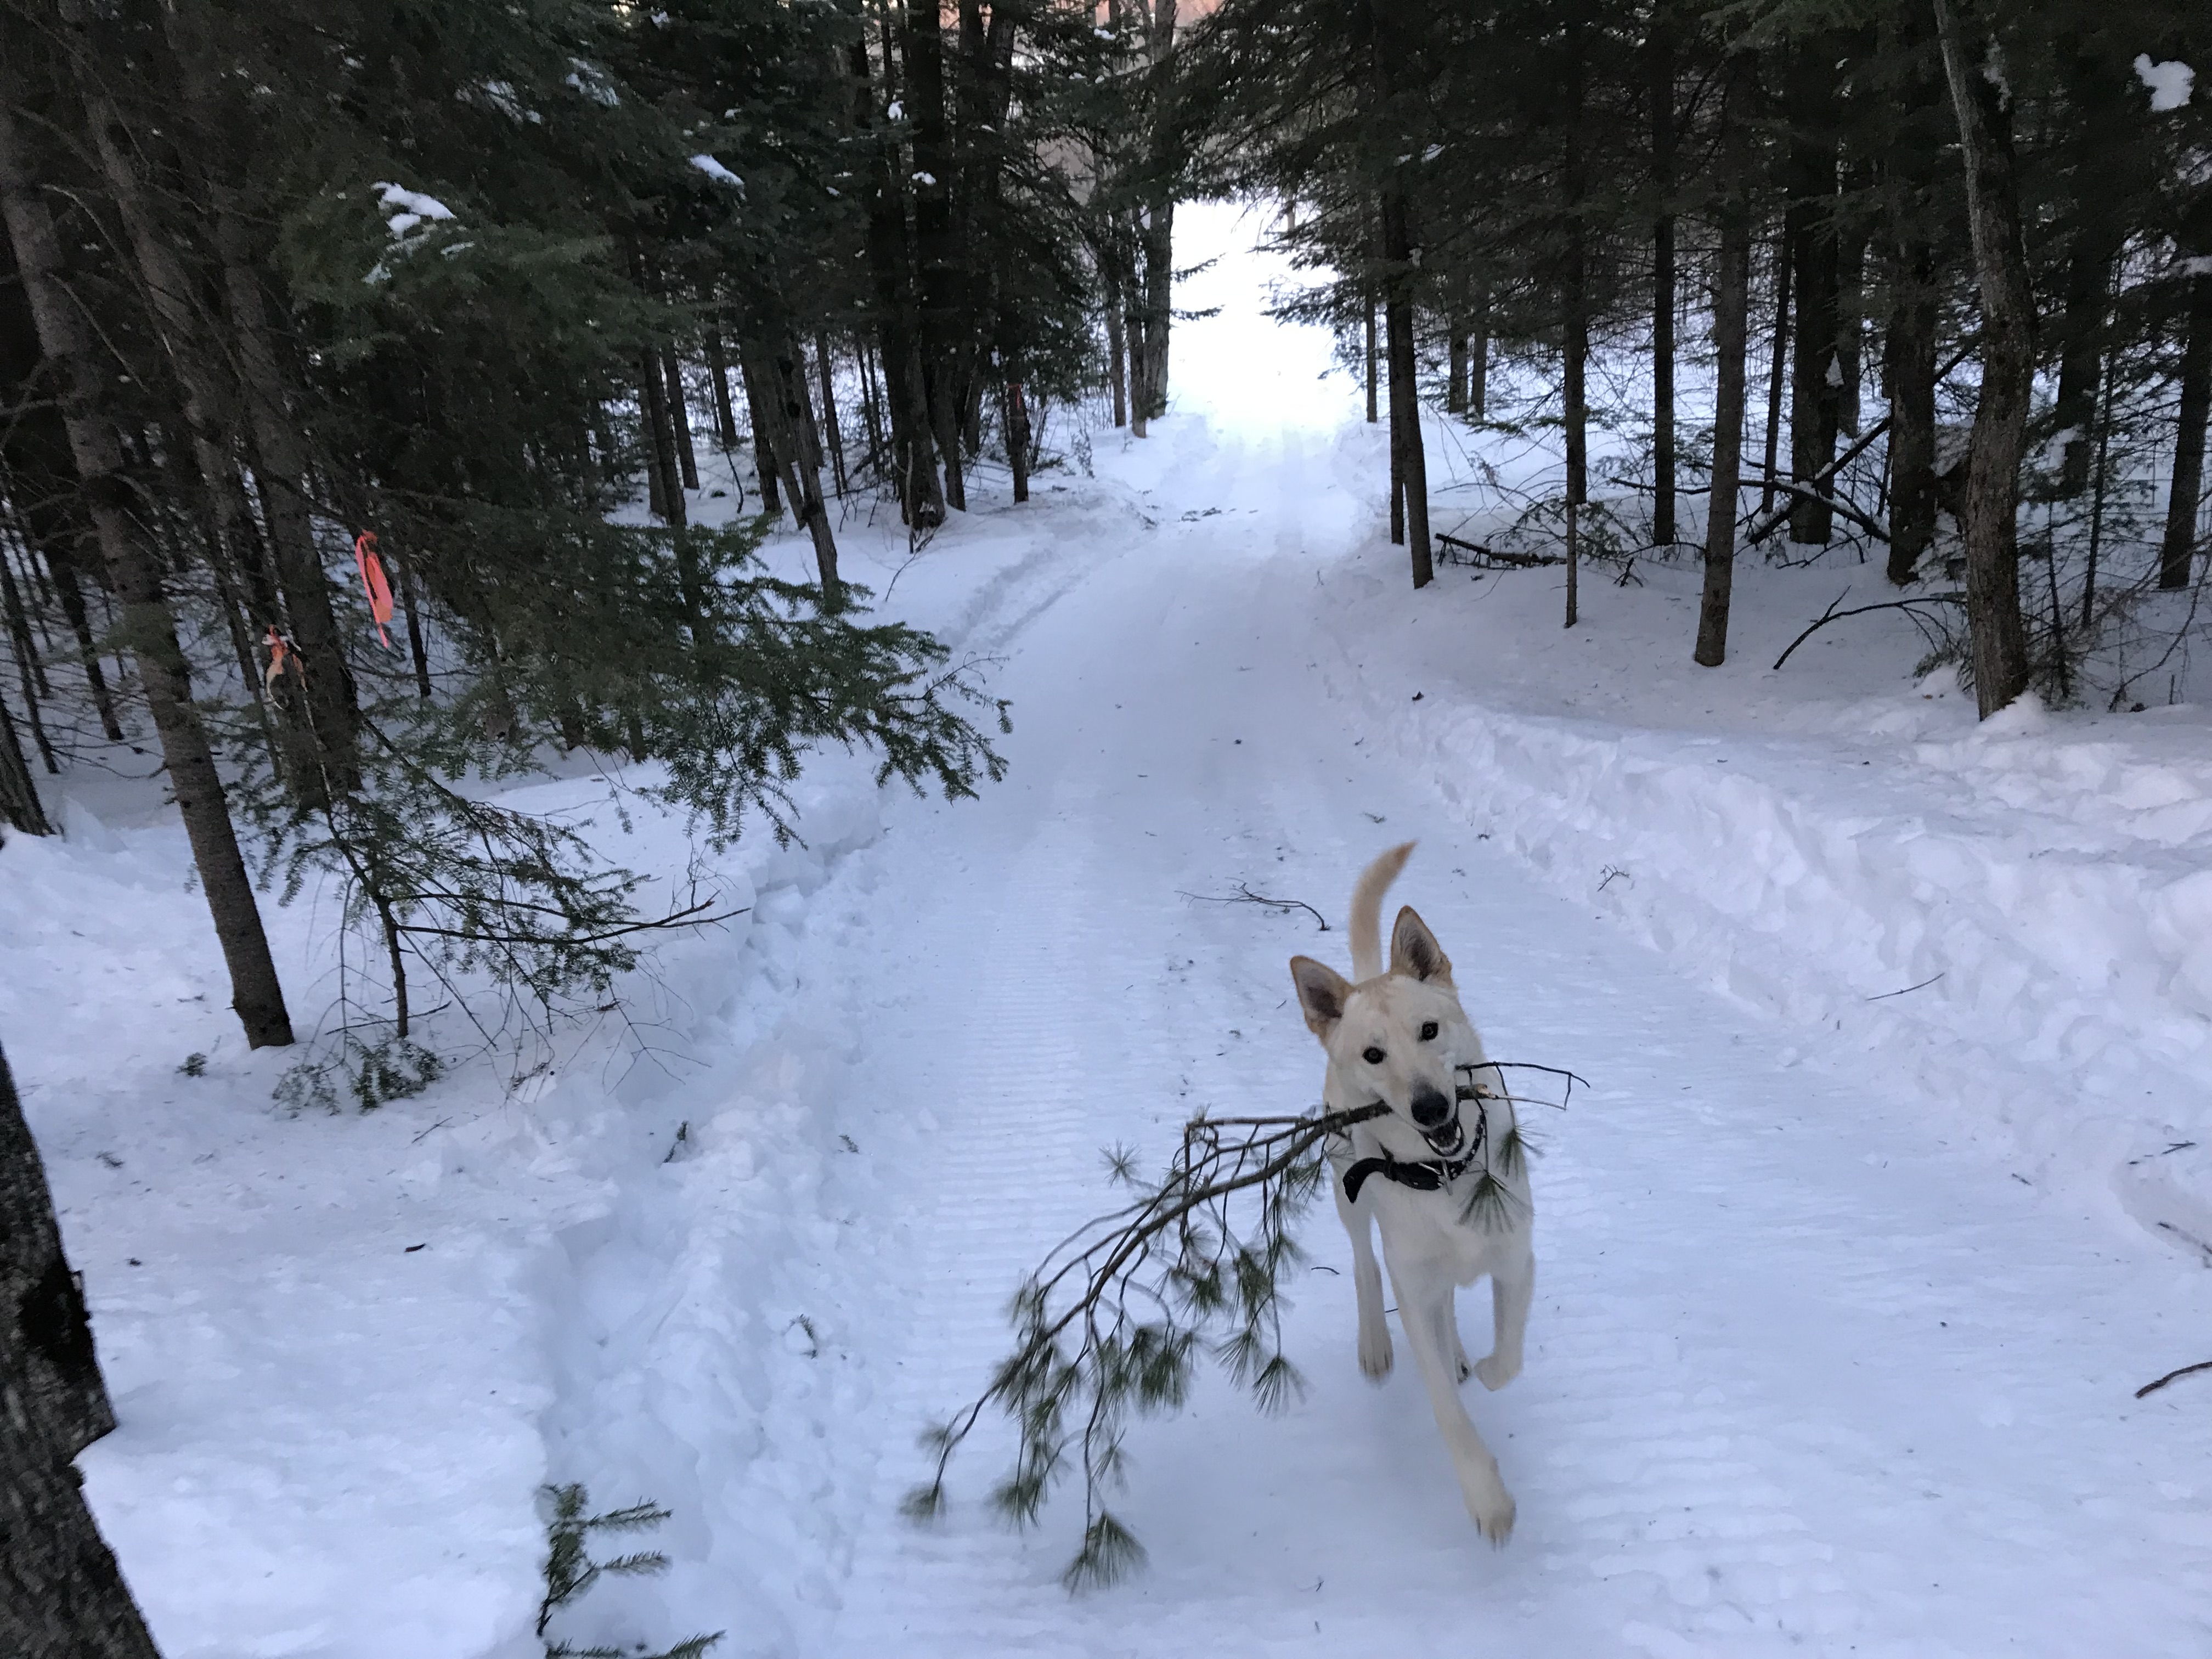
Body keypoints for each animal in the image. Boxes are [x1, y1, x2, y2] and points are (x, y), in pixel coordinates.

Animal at [1290, 842, 1532, 1544]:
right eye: (1374, 1055)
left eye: (1429, 1030)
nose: (1430, 1107)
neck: (1444, 1177)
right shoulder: (1415, 1288)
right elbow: (1448, 1410)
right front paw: (1487, 1498)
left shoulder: (1516, 1257)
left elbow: (1509, 1356)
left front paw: (1485, 1368)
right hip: (1348, 1187)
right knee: (1365, 1265)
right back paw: (1375, 1342)